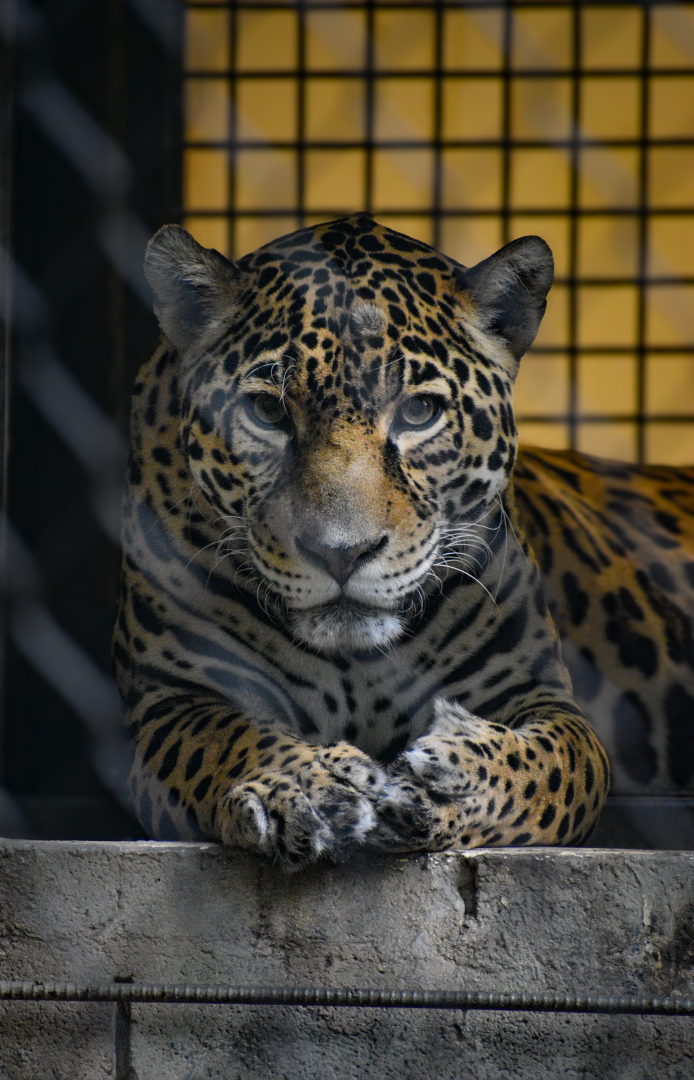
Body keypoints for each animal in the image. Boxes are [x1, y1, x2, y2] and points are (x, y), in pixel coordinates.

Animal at [113, 212, 691, 870]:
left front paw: (446, 781)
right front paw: (303, 786)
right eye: (267, 411)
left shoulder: (545, 700)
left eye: (418, 413)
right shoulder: (173, 698)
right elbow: (225, 739)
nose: (341, 552)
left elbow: (547, 769)